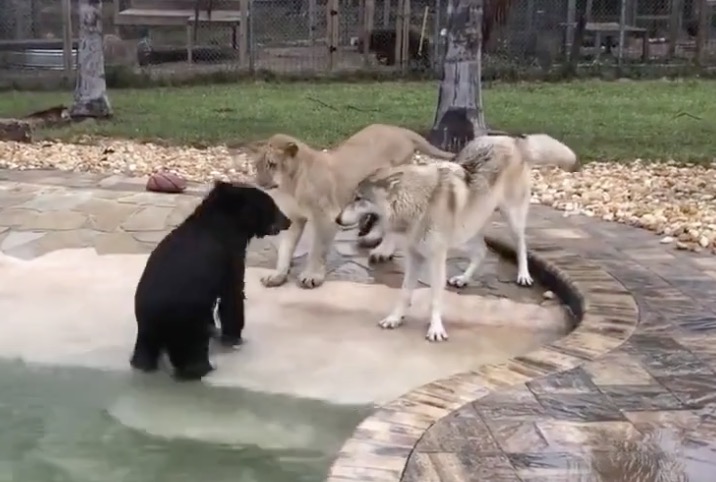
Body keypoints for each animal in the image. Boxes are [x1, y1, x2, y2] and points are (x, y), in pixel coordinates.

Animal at [131, 181, 290, 380]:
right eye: (273, 206)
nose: (288, 221)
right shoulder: (230, 256)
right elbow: (233, 294)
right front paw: (235, 338)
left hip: (147, 330)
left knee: (144, 350)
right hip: (186, 324)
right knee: (191, 350)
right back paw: (203, 368)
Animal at [252, 124, 454, 290]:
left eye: (272, 165)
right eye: (256, 166)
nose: (259, 182)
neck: (290, 185)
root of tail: (399, 129)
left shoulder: (326, 217)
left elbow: (317, 249)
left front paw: (312, 276)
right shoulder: (294, 219)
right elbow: (285, 249)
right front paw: (277, 275)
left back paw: (382, 251)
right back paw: (372, 238)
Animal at [336, 134, 576, 340]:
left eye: (358, 198)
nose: (337, 219)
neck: (417, 203)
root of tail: (512, 140)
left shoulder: (436, 259)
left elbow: (435, 298)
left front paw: (435, 330)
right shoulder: (414, 257)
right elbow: (404, 292)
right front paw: (394, 319)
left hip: (511, 218)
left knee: (521, 244)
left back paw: (523, 275)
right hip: (467, 231)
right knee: (481, 252)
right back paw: (463, 279)